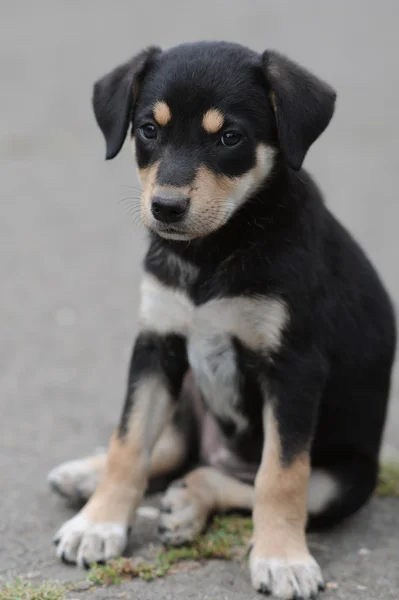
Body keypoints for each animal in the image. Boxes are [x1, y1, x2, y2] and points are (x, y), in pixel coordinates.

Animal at [49, 43, 396, 600]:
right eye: (149, 129)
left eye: (230, 137)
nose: (166, 208)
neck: (214, 252)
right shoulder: (158, 343)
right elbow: (129, 443)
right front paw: (98, 524)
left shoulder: (294, 367)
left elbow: (280, 477)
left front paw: (282, 559)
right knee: (174, 446)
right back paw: (87, 475)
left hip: (346, 481)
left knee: (244, 479)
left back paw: (191, 501)